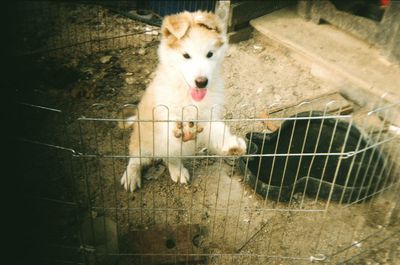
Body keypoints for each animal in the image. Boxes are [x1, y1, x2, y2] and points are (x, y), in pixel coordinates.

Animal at [121, 10, 247, 190]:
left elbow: (217, 129)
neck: (188, 93)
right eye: (186, 55)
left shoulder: (207, 116)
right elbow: (169, 128)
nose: (201, 82)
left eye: (210, 54)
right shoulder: (163, 112)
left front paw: (231, 144)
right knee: (137, 156)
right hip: (143, 139)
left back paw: (177, 170)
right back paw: (131, 175)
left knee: (170, 156)